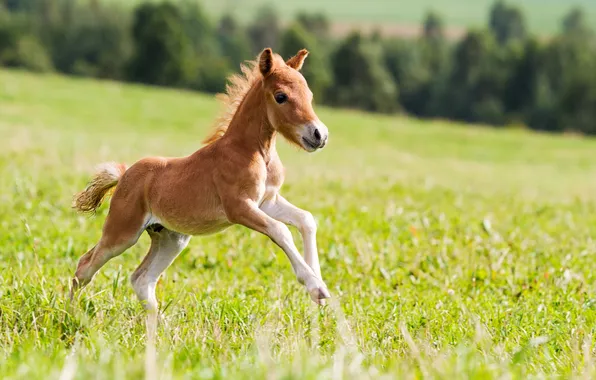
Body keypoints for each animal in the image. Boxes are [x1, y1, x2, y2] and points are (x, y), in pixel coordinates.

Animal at [73, 47, 332, 310]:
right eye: (281, 96)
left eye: (309, 95)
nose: (319, 135)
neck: (255, 152)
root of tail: (125, 174)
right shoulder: (238, 207)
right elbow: (281, 230)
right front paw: (316, 286)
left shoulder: (266, 201)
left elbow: (306, 219)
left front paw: (317, 285)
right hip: (123, 232)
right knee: (85, 266)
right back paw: (72, 313)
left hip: (171, 238)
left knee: (141, 279)